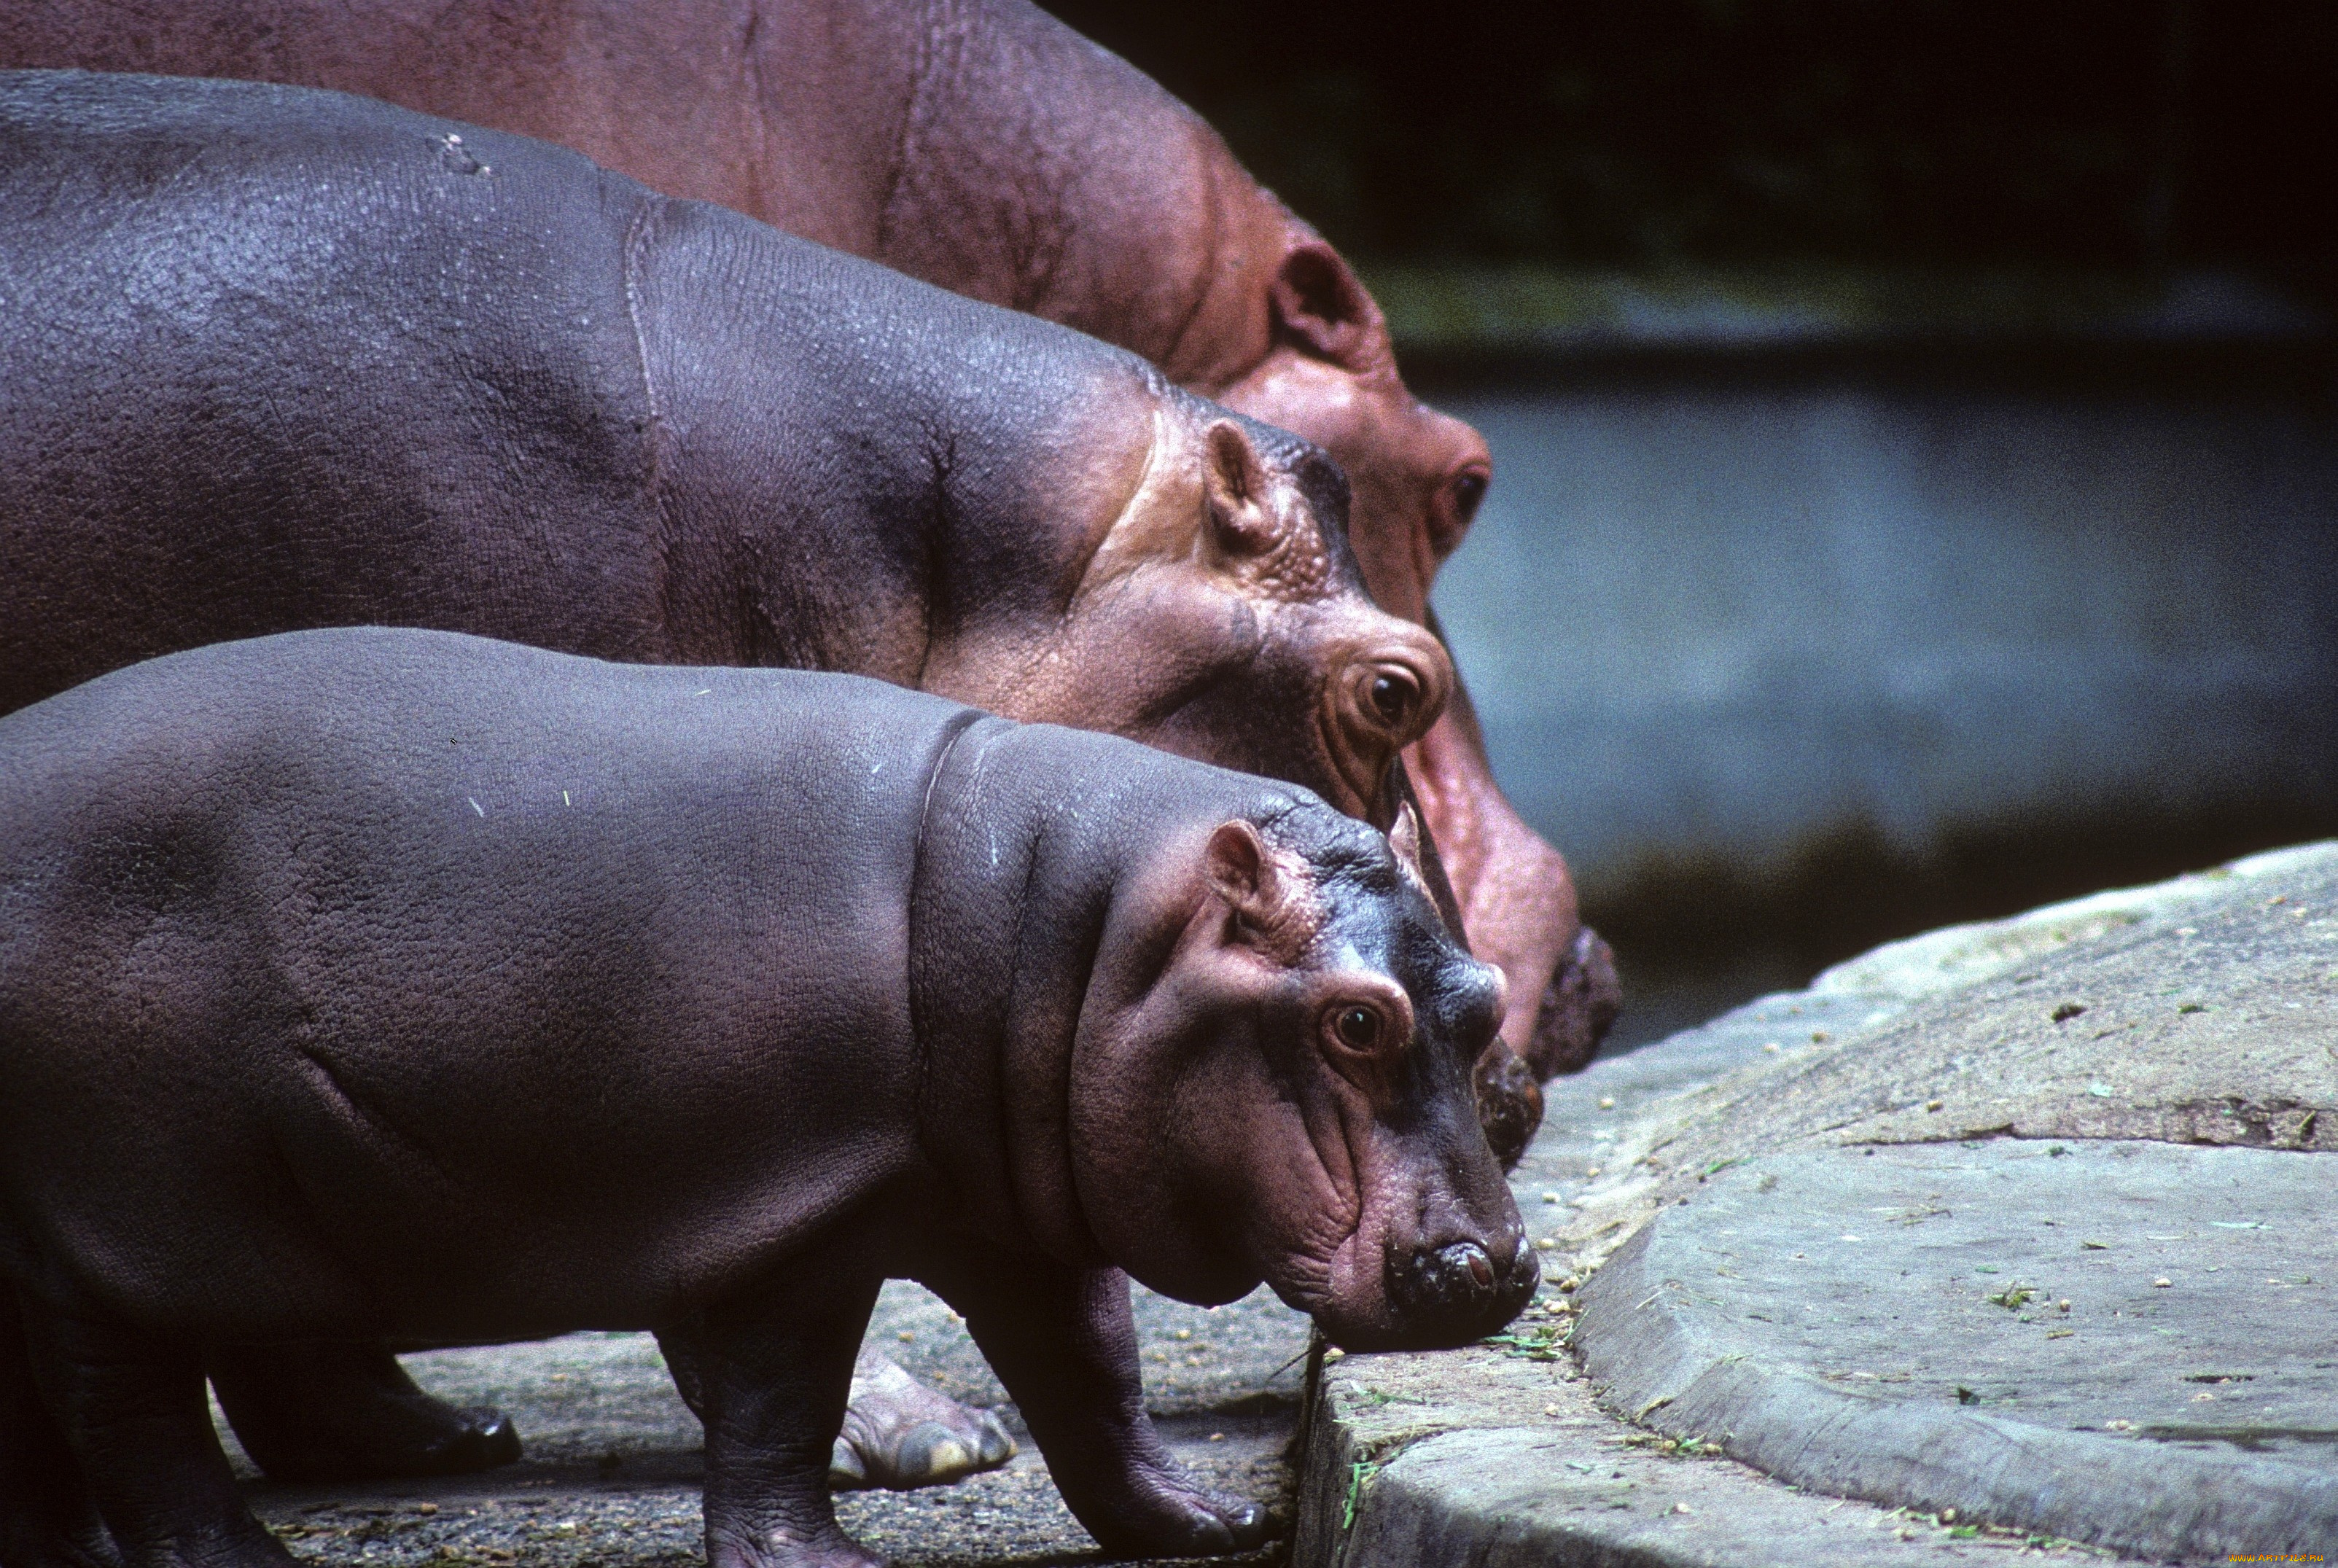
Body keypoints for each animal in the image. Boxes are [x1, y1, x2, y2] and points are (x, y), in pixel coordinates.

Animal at [0, 626, 1533, 1568]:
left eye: (1482, 995)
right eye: (1352, 1020)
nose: (1499, 1267)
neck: (1082, 925)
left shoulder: (1008, 1208)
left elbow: (1092, 1369)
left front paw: (1205, 1522)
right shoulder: (809, 1205)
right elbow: (783, 1391)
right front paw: (820, 1556)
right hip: (133, 1209)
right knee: (131, 1404)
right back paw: (233, 1553)